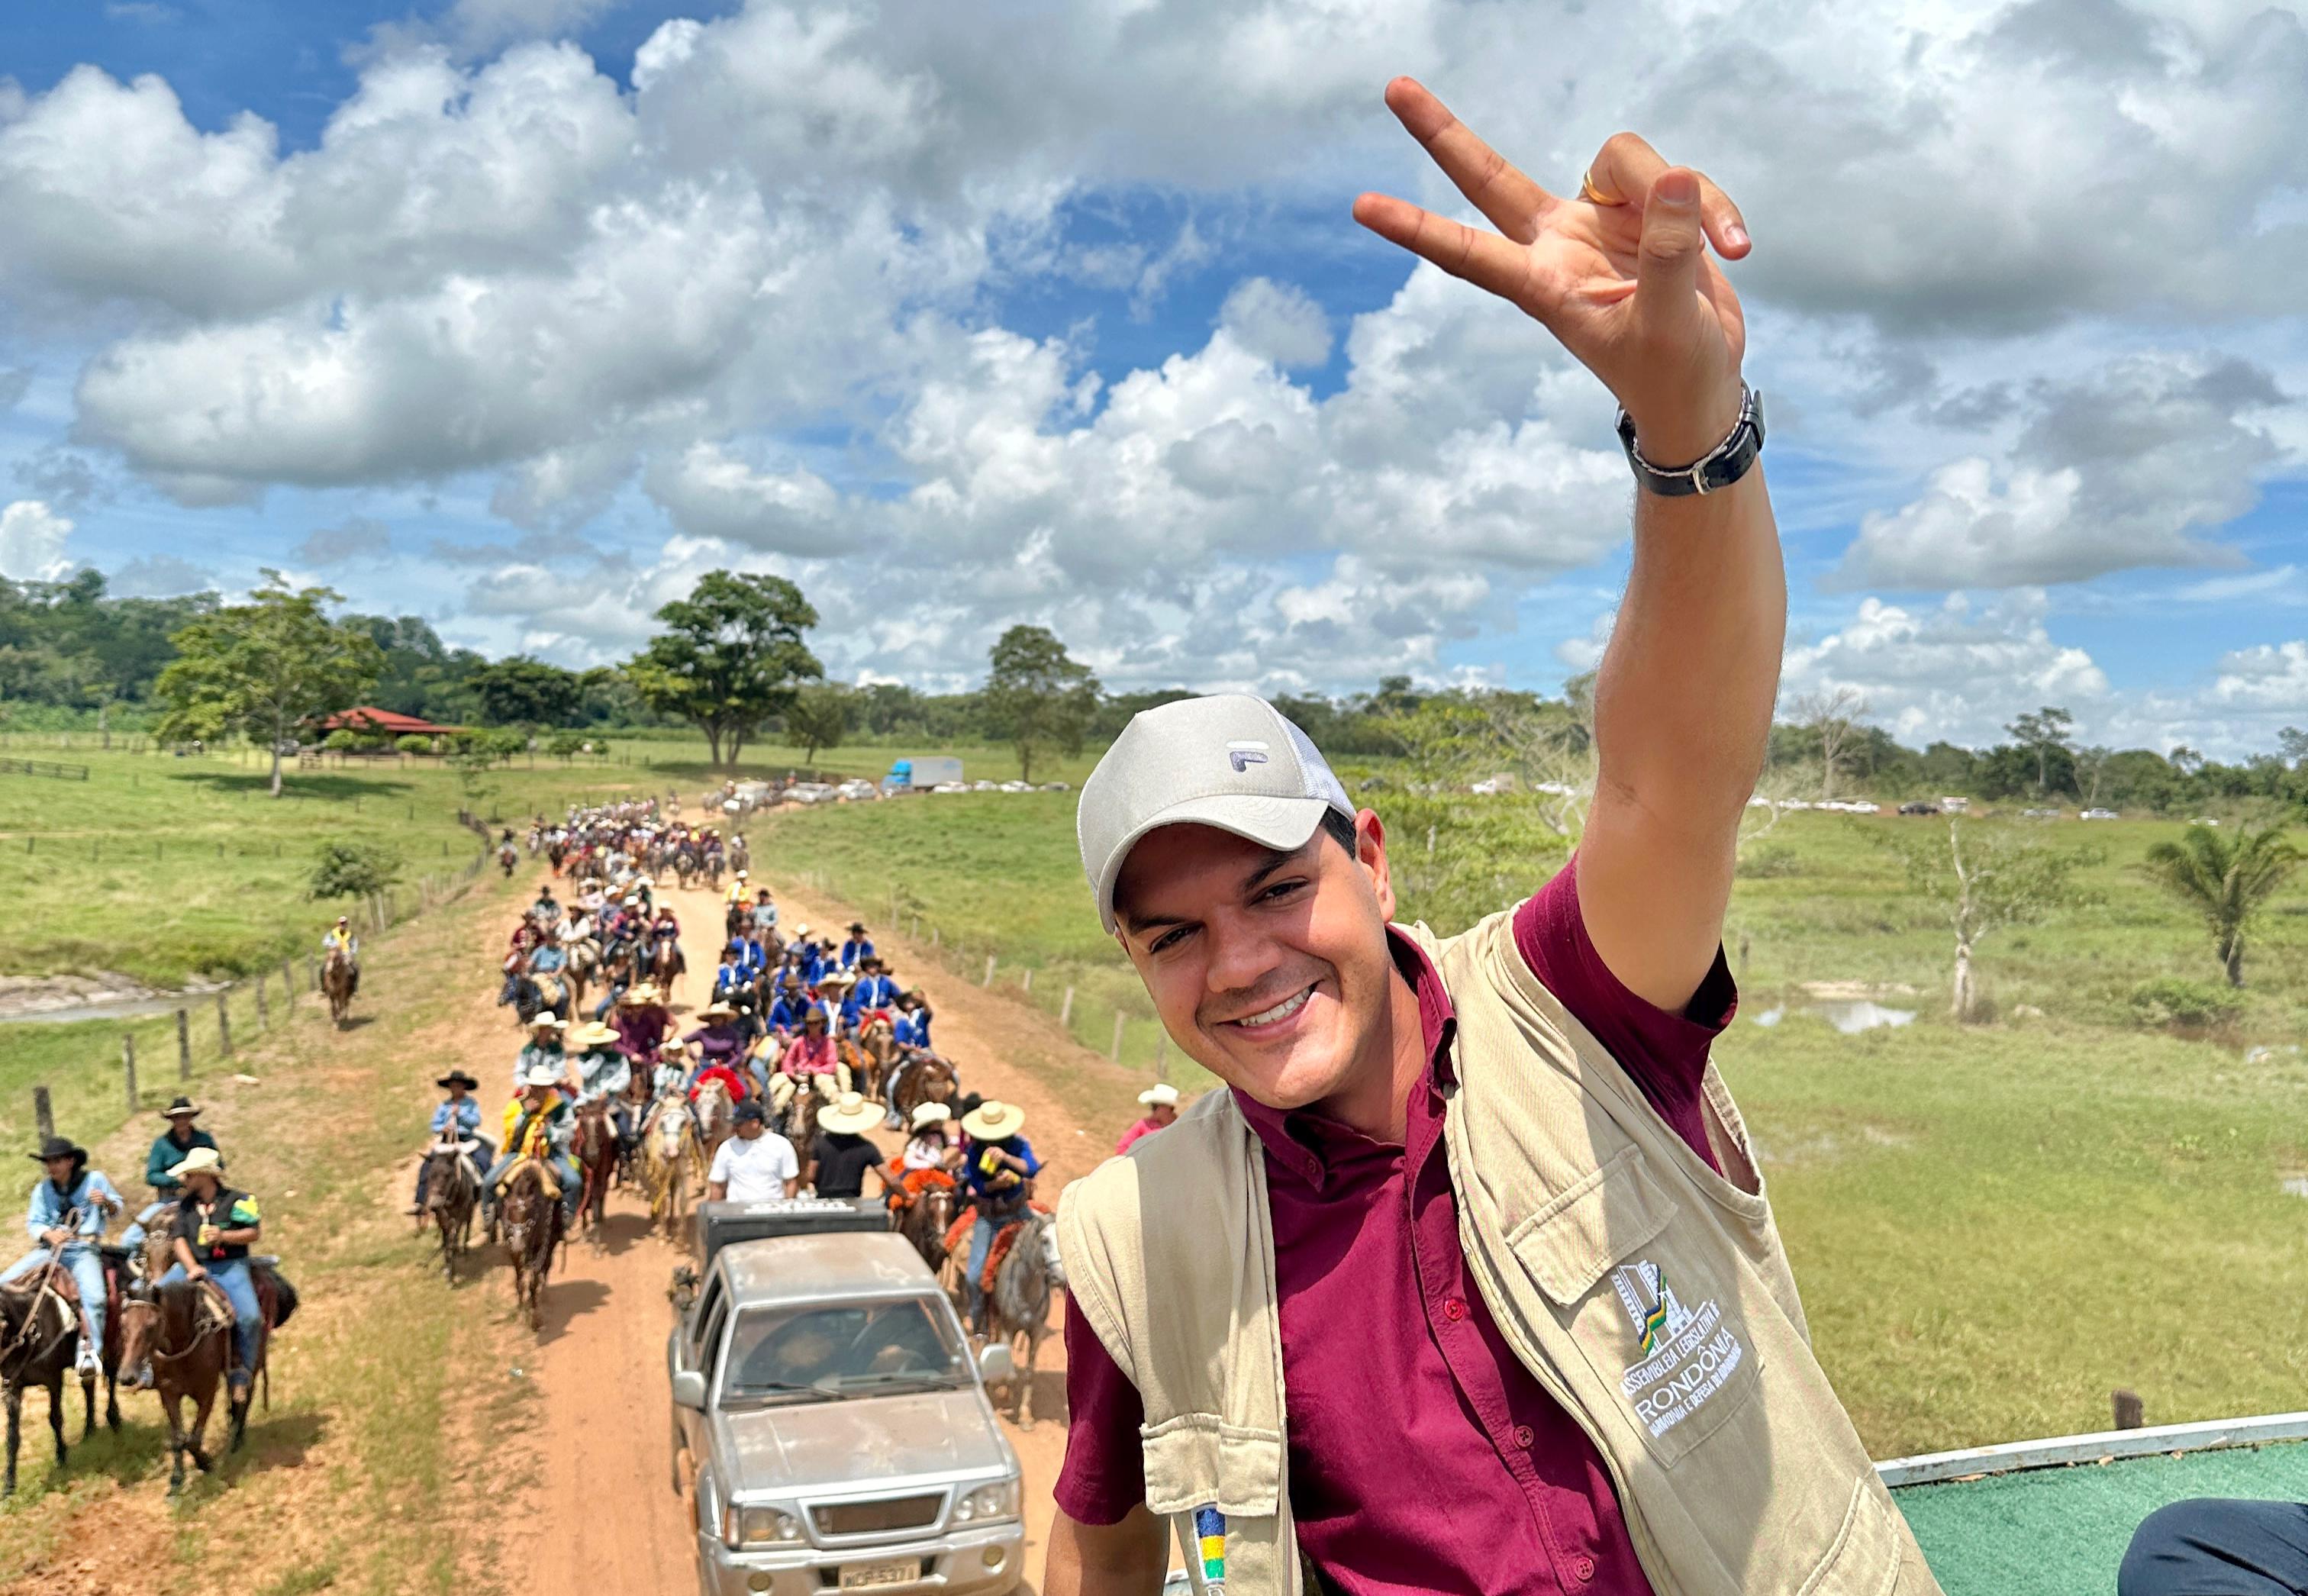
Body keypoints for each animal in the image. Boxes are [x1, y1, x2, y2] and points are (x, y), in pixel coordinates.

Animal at [498, 1159, 560, 1340]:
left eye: (530, 1213)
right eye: (507, 1208)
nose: (518, 1245)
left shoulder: (540, 1246)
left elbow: (533, 1280)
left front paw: (536, 1319)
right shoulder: (512, 1249)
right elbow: (520, 1280)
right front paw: (521, 1311)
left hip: (551, 1241)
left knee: (547, 1266)